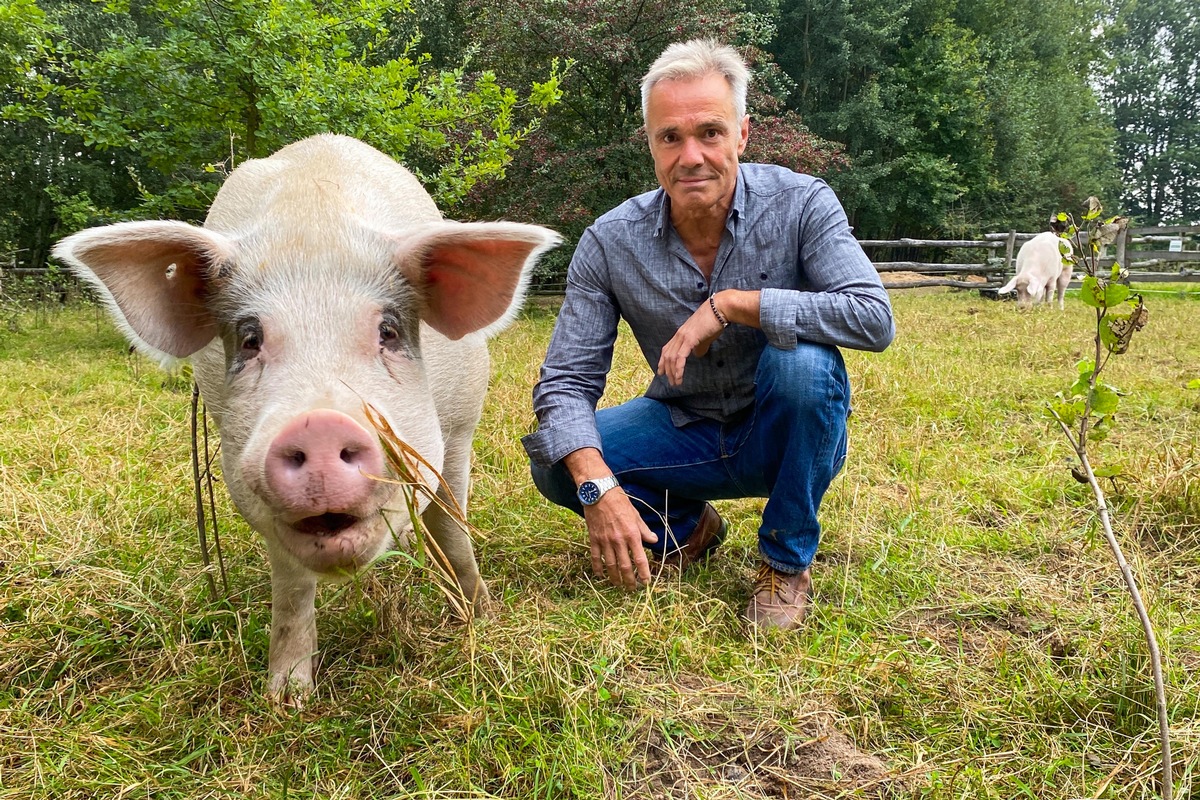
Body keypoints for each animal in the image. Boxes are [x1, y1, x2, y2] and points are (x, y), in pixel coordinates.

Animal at [52, 134, 561, 705]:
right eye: (249, 339)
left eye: (388, 332)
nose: (318, 424)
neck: (314, 222)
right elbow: (292, 587)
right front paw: (286, 699)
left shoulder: (458, 430)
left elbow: (453, 527)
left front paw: (481, 618)